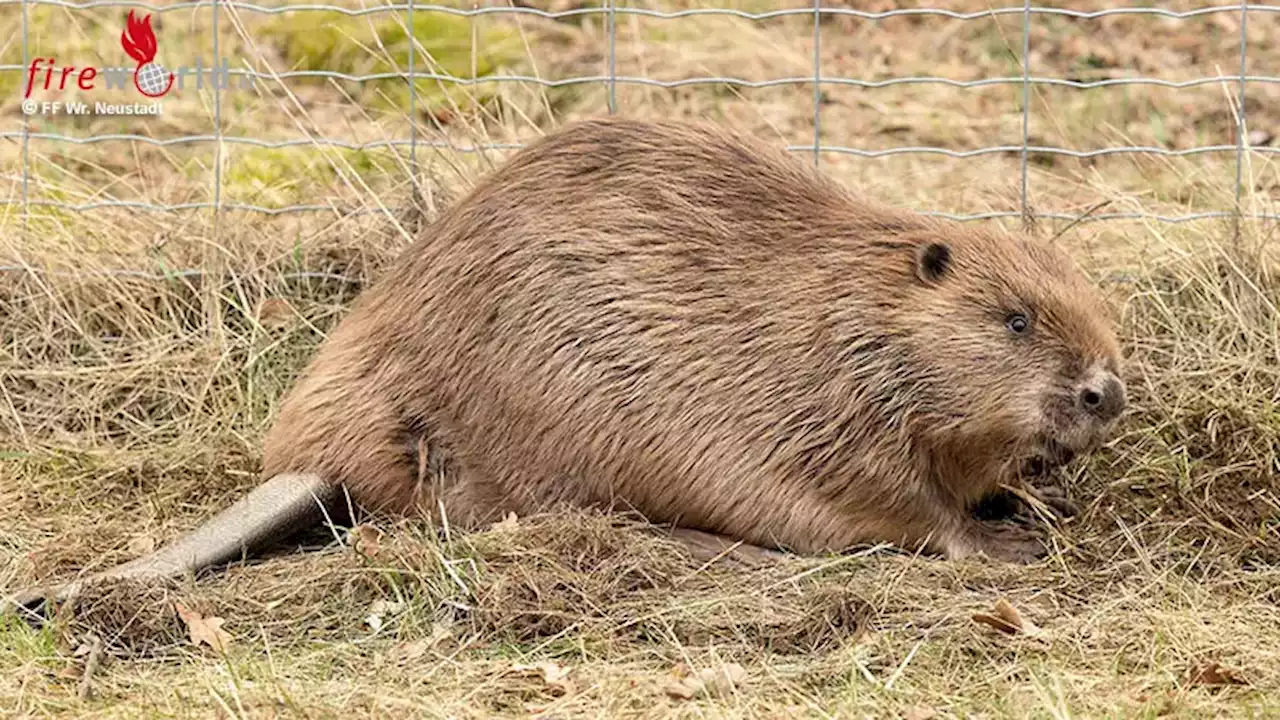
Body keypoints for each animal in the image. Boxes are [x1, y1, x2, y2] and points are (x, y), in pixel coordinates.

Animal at [5, 117, 1126, 609]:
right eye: (1014, 319)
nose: (1104, 390)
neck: (844, 309)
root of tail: (313, 456)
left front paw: (1032, 499)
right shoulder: (820, 410)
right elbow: (895, 505)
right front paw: (1005, 545)